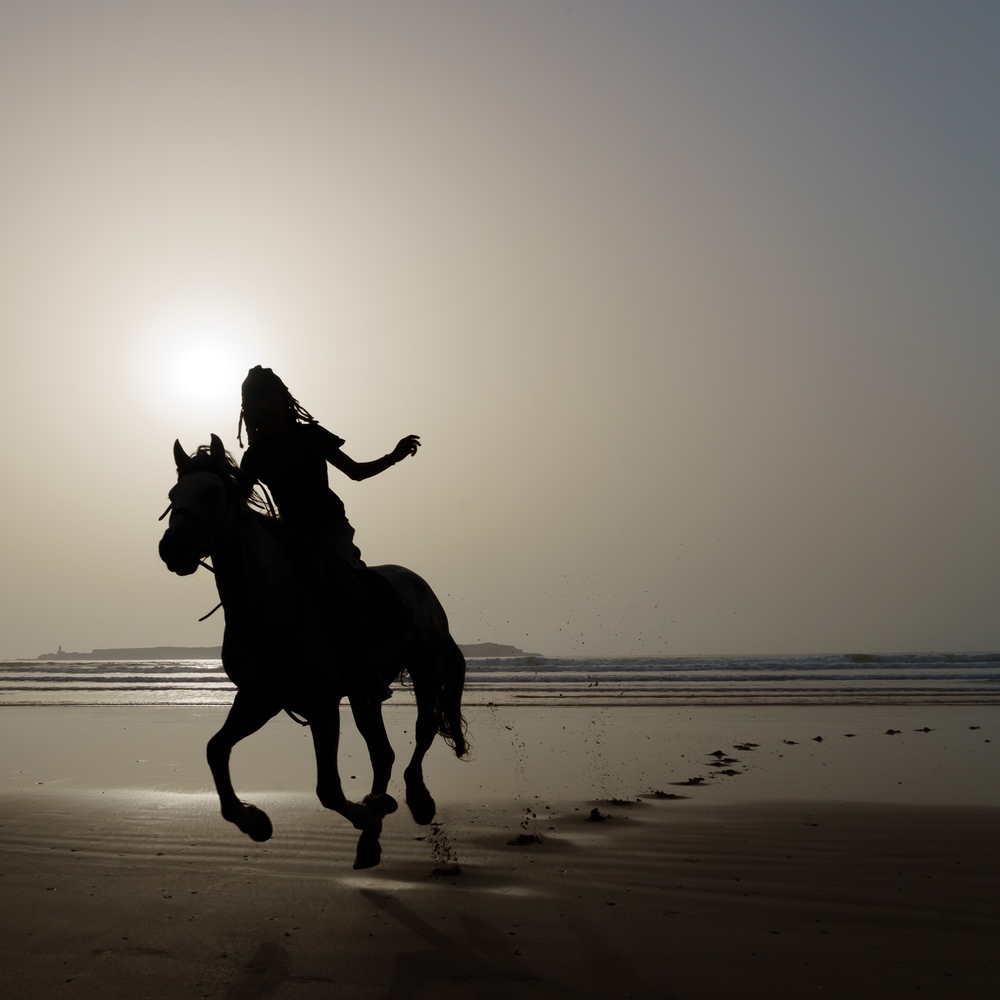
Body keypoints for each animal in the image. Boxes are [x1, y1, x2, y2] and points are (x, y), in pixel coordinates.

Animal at [157, 434, 469, 869]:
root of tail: (421, 585)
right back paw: (370, 840)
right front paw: (253, 821)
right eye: (174, 495)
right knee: (382, 753)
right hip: (363, 695)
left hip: (425, 666)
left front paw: (370, 810)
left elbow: (330, 790)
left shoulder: (321, 706)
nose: (173, 549)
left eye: (213, 492)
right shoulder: (260, 697)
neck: (269, 605)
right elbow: (216, 750)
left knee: (423, 729)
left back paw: (416, 800)